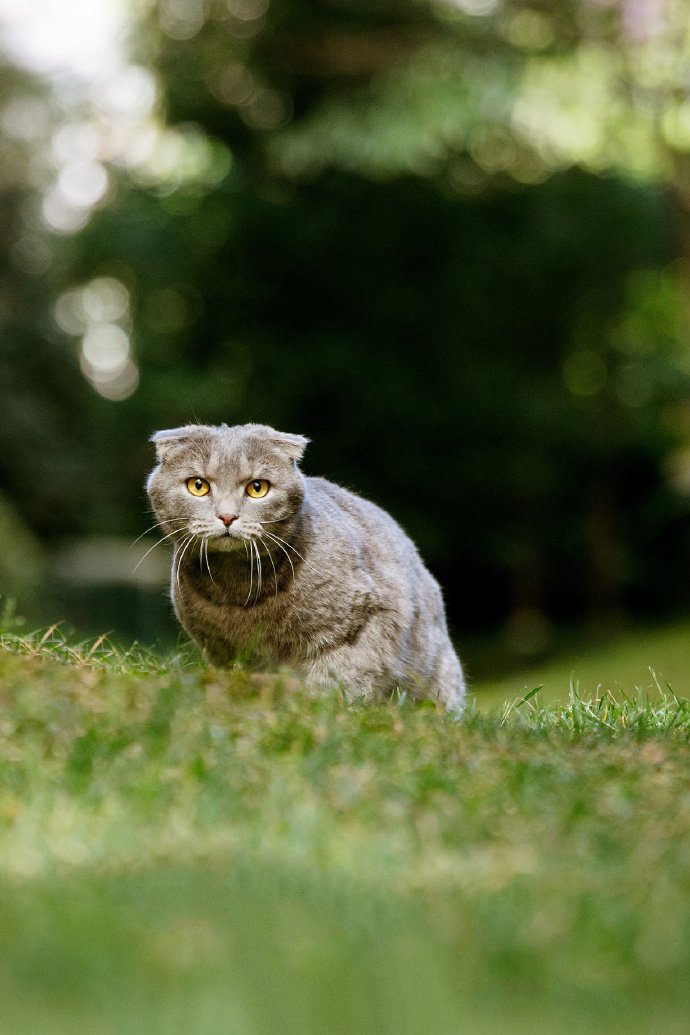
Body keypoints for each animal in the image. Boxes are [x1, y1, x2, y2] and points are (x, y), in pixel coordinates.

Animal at [147, 422, 467, 712]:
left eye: (257, 488)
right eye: (198, 486)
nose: (227, 516)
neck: (238, 592)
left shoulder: (367, 621)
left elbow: (341, 676)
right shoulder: (221, 649)